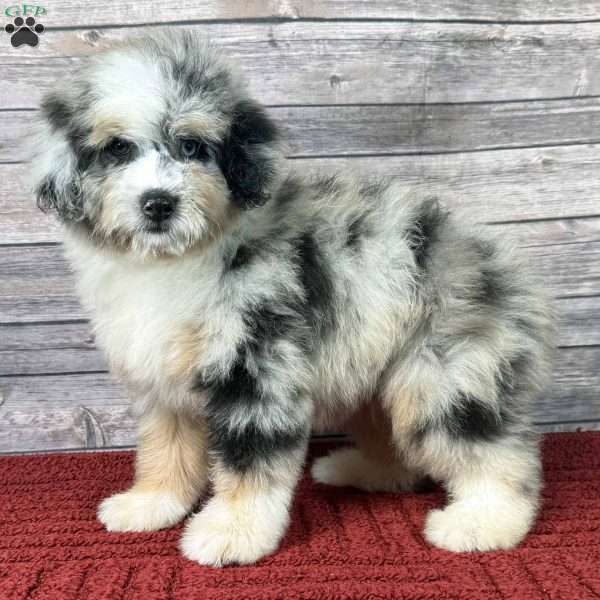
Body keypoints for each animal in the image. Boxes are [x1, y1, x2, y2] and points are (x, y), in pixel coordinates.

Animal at [30, 30, 556, 564]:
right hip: (379, 368)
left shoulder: (258, 366)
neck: (174, 260)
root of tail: (499, 259)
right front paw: (153, 504)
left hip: (445, 372)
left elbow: (250, 459)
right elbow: (166, 450)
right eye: (117, 149)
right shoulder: (161, 381)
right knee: (397, 448)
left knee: (494, 451)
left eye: (192, 146)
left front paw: (233, 531)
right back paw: (356, 470)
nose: (158, 203)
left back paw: (485, 522)